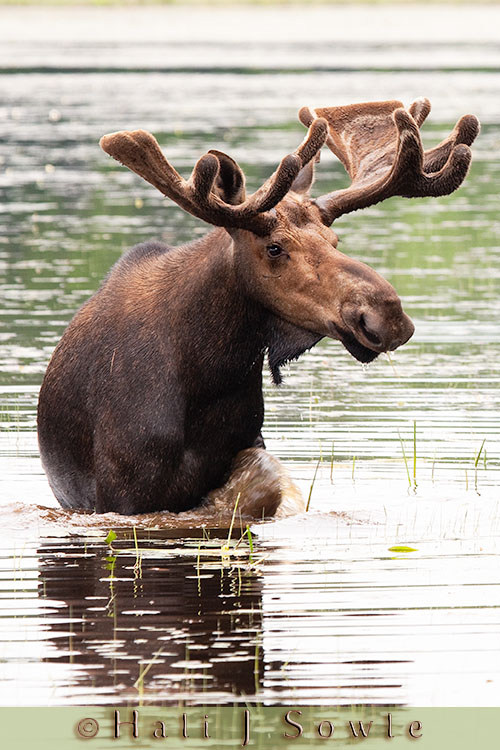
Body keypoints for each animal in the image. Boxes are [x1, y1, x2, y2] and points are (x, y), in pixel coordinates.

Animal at [37, 98, 479, 520]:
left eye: (334, 241)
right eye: (274, 248)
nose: (386, 315)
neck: (210, 373)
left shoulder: (250, 440)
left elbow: (267, 478)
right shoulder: (121, 492)